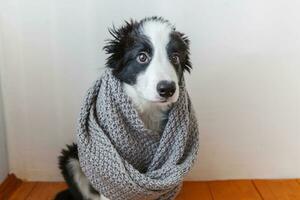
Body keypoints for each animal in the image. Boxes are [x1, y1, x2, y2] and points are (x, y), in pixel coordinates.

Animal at [55, 16, 192, 200]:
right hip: (71, 158)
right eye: (142, 57)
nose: (167, 89)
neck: (147, 110)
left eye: (175, 58)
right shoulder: (112, 178)